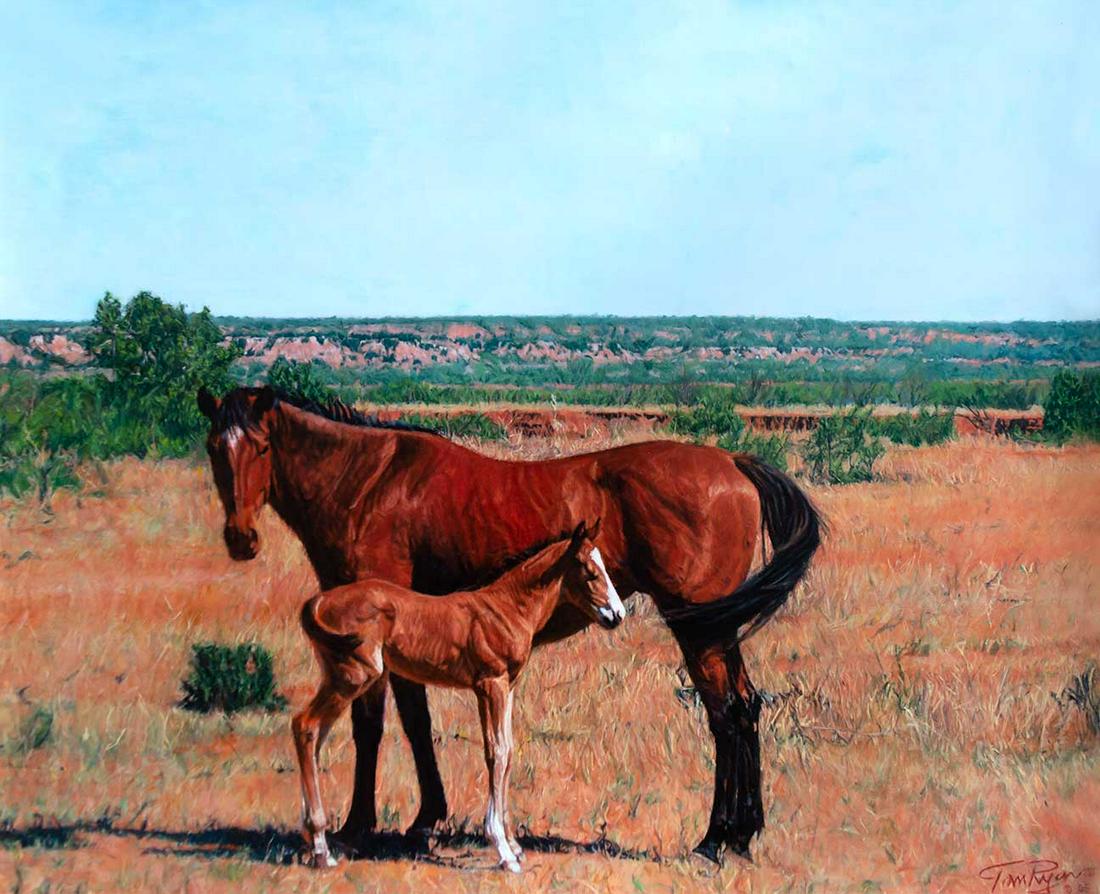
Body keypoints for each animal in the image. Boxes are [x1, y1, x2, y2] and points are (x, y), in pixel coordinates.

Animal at [293, 520, 624, 872]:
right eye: (590, 571)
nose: (617, 614)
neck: (505, 609)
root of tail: (319, 601)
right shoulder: (490, 685)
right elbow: (497, 753)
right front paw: (503, 850)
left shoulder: (506, 687)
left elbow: (507, 752)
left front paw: (514, 845)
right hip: (354, 676)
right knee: (305, 726)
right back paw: (321, 850)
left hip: (337, 677)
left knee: (313, 737)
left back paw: (316, 844)